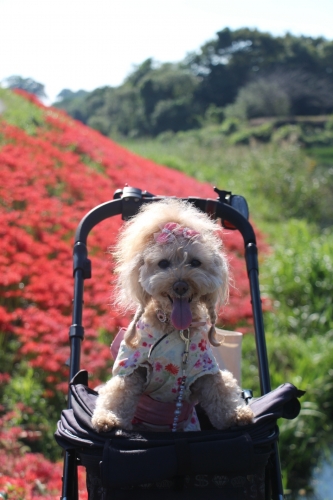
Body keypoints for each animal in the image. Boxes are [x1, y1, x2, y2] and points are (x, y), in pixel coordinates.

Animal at [91, 199, 252, 434]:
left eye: (195, 262)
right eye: (163, 264)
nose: (180, 285)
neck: (176, 330)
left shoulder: (204, 370)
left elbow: (220, 388)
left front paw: (238, 415)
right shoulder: (131, 367)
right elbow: (119, 392)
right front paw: (107, 419)